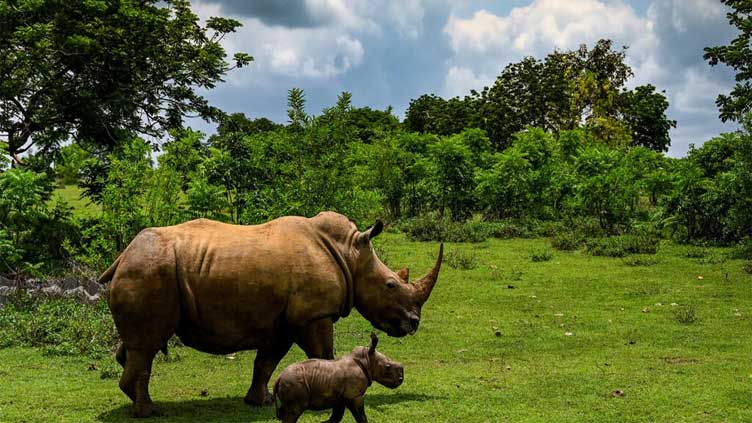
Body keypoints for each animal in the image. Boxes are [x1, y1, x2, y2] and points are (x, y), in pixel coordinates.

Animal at [99, 212, 443, 417]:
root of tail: (123, 255)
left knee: (136, 345)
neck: (350, 254)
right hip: (149, 271)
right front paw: (328, 399)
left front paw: (259, 402)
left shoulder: (282, 321)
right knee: (147, 345)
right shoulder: (314, 314)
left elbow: (266, 363)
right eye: (390, 285)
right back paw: (151, 412)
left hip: (146, 270)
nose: (414, 323)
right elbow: (323, 353)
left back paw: (139, 403)